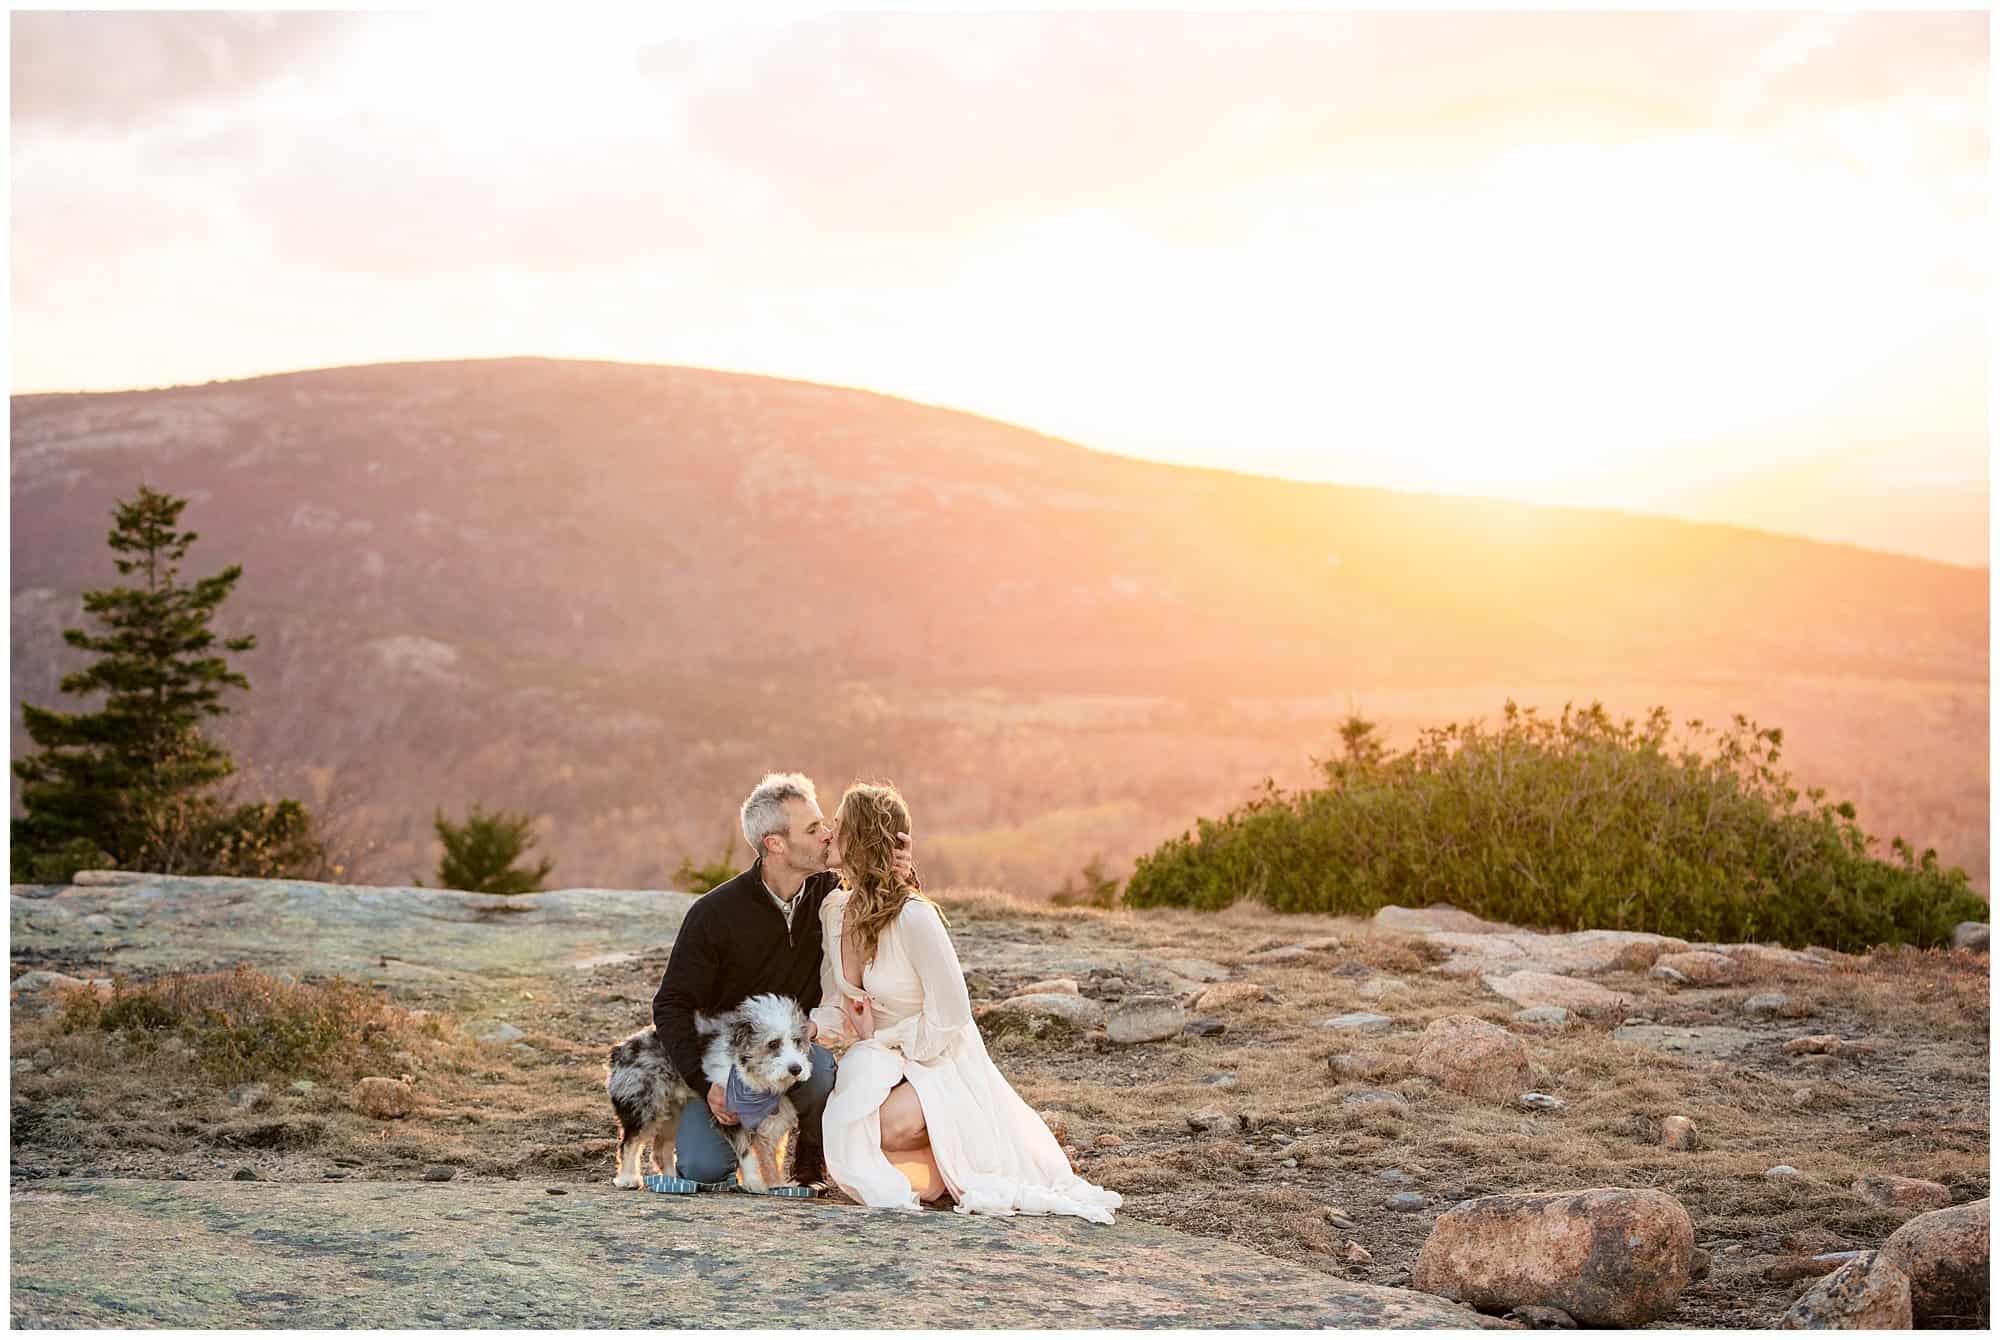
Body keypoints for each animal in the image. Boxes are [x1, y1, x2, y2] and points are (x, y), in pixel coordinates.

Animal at [604, 996, 808, 1200]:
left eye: (797, 1041)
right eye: (773, 1043)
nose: (796, 1069)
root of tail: (619, 1050)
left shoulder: (771, 1124)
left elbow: (771, 1157)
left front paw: (776, 1184)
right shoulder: (728, 1114)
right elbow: (746, 1152)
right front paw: (754, 1182)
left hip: (673, 1113)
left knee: (660, 1151)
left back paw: (672, 1181)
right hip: (645, 1106)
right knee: (629, 1143)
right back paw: (628, 1179)